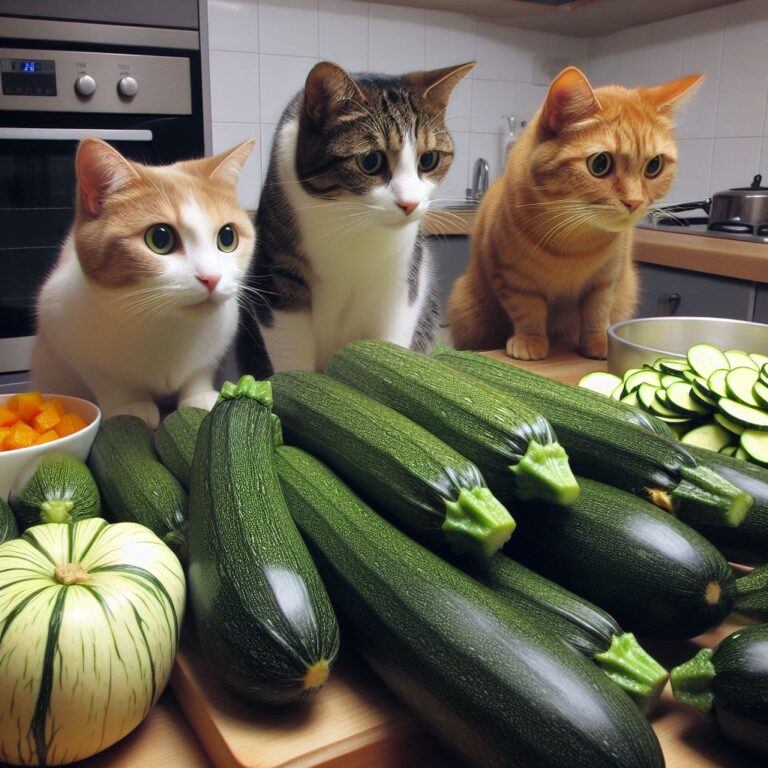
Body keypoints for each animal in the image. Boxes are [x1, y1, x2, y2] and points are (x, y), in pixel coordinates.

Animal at [32, 136, 255, 426]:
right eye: (159, 239)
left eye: (227, 237)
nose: (211, 278)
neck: (165, 323)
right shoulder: (62, 325)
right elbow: (108, 381)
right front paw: (129, 404)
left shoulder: (222, 335)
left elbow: (200, 370)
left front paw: (199, 395)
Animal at [237, 58, 472, 376]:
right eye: (370, 161)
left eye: (428, 160)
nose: (409, 204)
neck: (351, 222)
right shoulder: (278, 275)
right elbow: (292, 359)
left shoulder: (400, 281)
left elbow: (391, 342)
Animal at [450, 67, 704, 362]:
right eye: (600, 164)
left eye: (654, 166)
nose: (634, 202)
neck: (575, 242)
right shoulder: (513, 279)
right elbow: (528, 311)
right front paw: (530, 341)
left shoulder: (607, 280)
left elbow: (597, 313)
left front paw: (600, 343)